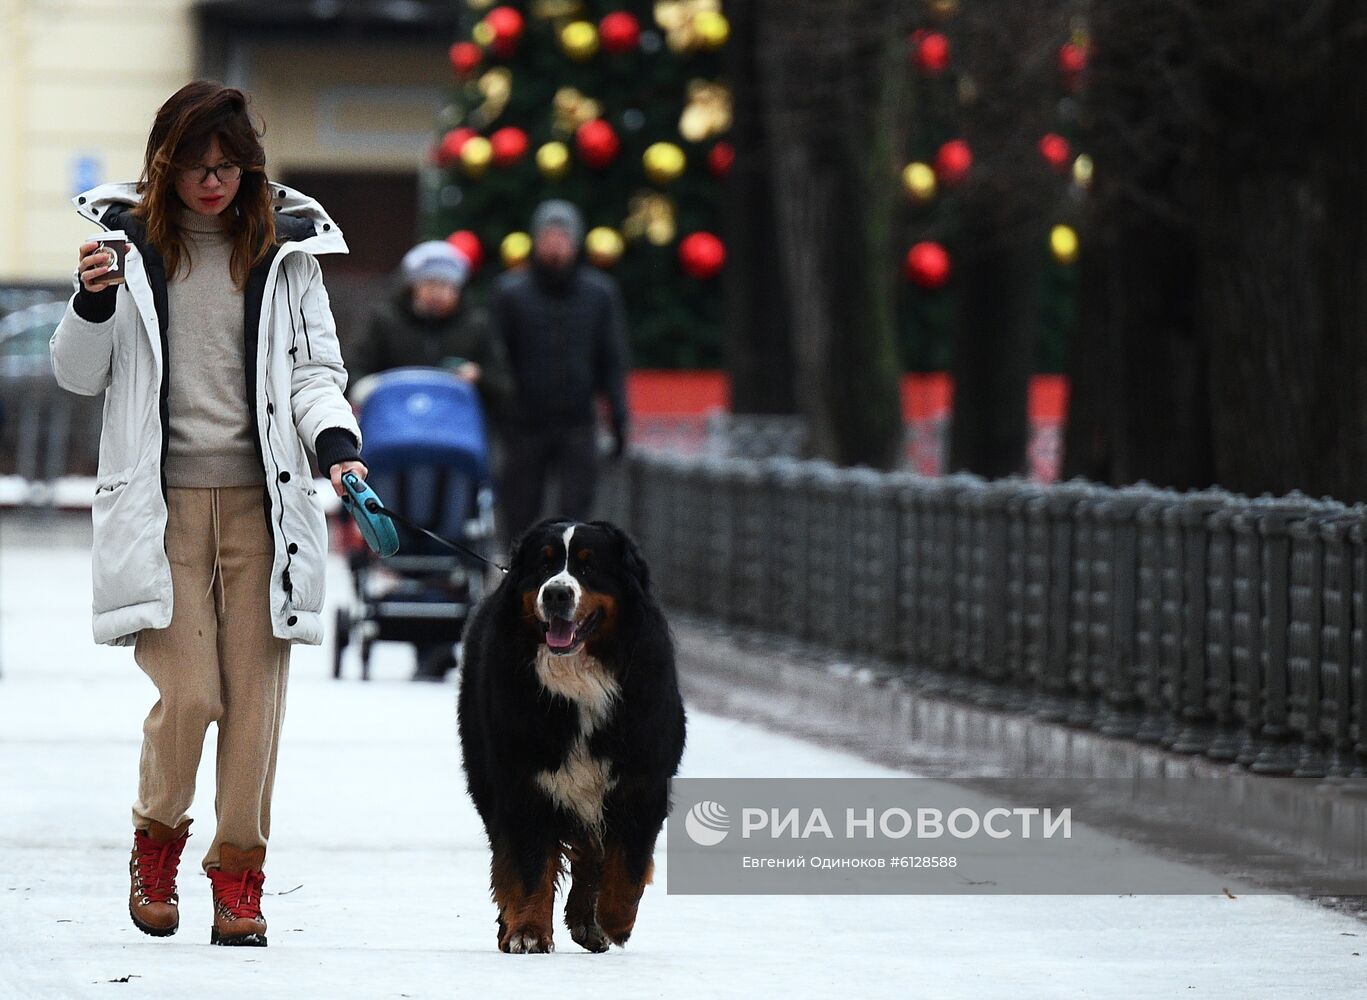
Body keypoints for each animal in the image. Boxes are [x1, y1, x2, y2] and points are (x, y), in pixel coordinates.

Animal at [459, 516, 688, 950]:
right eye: (545, 564)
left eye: (588, 566)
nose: (556, 593)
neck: (578, 680)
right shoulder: (524, 782)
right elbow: (530, 865)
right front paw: (528, 931)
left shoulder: (640, 781)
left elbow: (626, 866)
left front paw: (614, 920)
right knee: (506, 853)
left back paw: (589, 921)